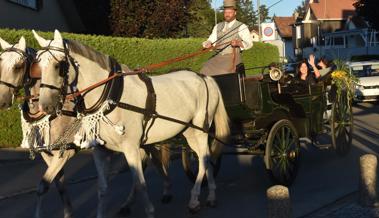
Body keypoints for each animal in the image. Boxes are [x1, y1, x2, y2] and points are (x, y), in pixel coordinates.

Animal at [0, 36, 172, 218]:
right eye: (0, 63)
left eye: (18, 66)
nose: (2, 100)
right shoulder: (48, 154)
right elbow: (58, 185)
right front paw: (68, 212)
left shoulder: (66, 151)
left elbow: (43, 186)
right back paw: (130, 202)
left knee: (155, 160)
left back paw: (166, 191)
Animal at [33, 29, 229, 218]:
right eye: (38, 66)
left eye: (59, 65)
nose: (45, 106)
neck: (110, 97)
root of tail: (203, 77)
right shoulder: (100, 151)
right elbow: (102, 189)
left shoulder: (131, 148)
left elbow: (140, 184)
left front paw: (149, 212)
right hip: (188, 130)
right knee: (205, 156)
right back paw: (211, 194)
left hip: (200, 129)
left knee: (204, 158)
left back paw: (195, 199)